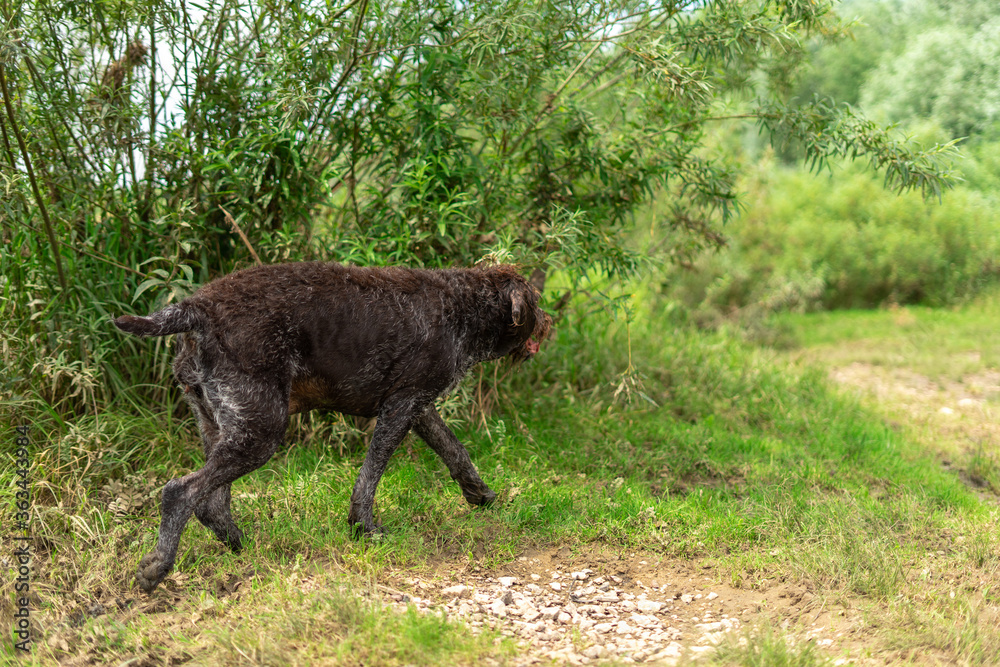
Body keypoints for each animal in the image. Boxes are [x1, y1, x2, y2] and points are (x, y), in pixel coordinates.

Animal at [118, 262, 556, 596]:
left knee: (211, 502)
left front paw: (482, 496)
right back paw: (158, 567)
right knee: (181, 491)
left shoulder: (419, 406)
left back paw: (243, 547)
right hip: (260, 430)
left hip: (222, 424)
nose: (550, 322)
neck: (462, 307)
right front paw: (364, 528)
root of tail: (197, 308)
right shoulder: (402, 406)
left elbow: (455, 451)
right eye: (535, 302)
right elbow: (372, 474)